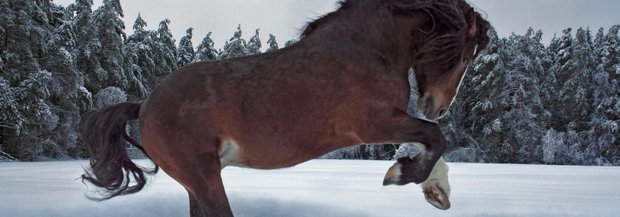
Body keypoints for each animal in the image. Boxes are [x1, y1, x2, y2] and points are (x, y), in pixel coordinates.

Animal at [81, 0, 490, 216]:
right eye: (465, 54)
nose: (437, 106)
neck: (368, 50)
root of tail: (144, 104)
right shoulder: (374, 123)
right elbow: (433, 138)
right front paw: (402, 175)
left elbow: (430, 141)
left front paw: (437, 192)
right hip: (203, 176)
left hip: (195, 183)